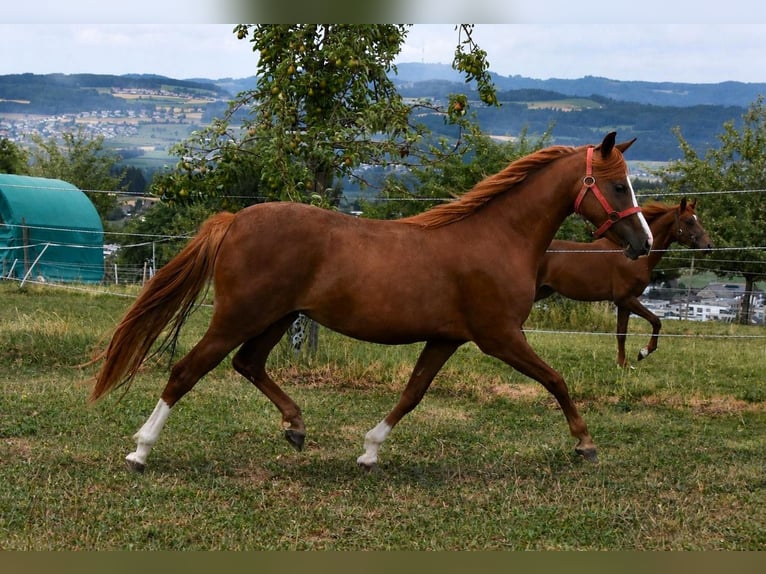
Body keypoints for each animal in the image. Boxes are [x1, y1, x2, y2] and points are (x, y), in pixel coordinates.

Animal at [89, 132, 652, 472]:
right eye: (617, 186)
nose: (643, 243)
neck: (497, 237)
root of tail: (234, 219)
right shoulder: (499, 337)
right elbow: (556, 379)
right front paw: (585, 443)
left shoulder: (447, 338)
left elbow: (413, 394)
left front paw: (369, 451)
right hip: (240, 315)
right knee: (187, 370)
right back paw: (140, 451)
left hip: (278, 317)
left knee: (248, 364)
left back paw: (296, 427)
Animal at [535, 198, 712, 367]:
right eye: (689, 221)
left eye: (698, 219)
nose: (709, 246)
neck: (634, 259)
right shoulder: (626, 298)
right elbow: (656, 321)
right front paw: (643, 352)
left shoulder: (624, 304)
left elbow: (622, 333)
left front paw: (623, 364)